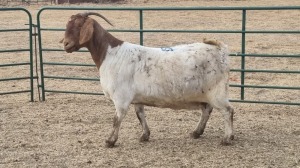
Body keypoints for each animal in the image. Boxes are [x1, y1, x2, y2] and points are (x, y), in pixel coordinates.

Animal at [61, 12, 234, 148]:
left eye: (79, 25)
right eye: (68, 25)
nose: (66, 44)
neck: (109, 54)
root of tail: (220, 49)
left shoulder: (121, 98)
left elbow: (116, 119)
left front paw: (110, 141)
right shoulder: (137, 98)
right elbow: (140, 115)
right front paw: (145, 135)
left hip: (217, 91)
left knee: (227, 111)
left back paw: (227, 139)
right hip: (205, 93)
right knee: (207, 110)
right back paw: (196, 132)